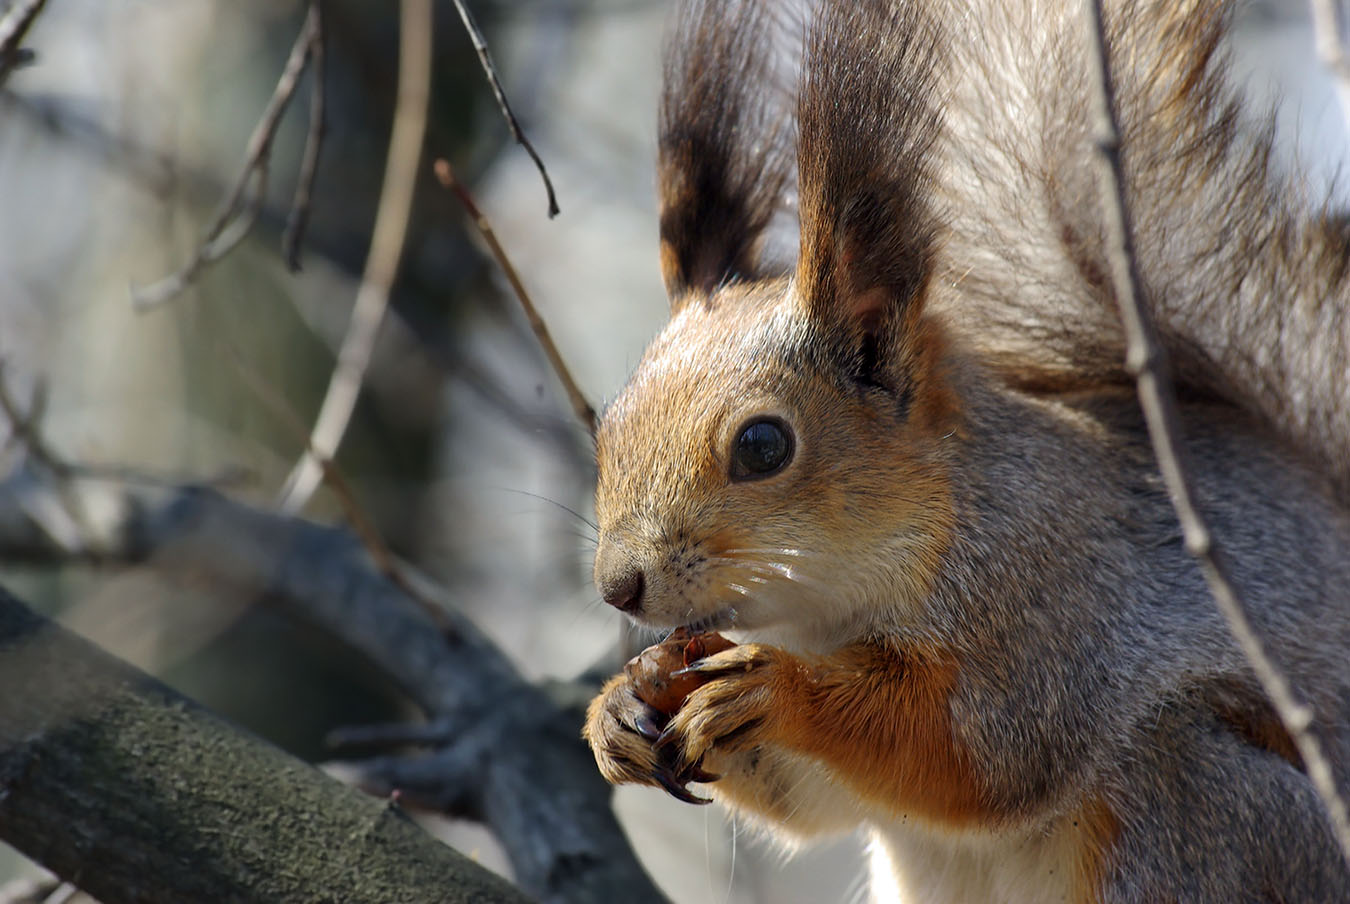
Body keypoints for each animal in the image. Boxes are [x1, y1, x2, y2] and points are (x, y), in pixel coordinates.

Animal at [580, 0, 1350, 901]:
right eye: (608, 424)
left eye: (763, 445)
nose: (618, 586)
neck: (826, 611)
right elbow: (812, 803)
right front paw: (622, 700)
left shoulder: (1053, 595)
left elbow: (976, 751)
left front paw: (781, 690)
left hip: (1197, 806)